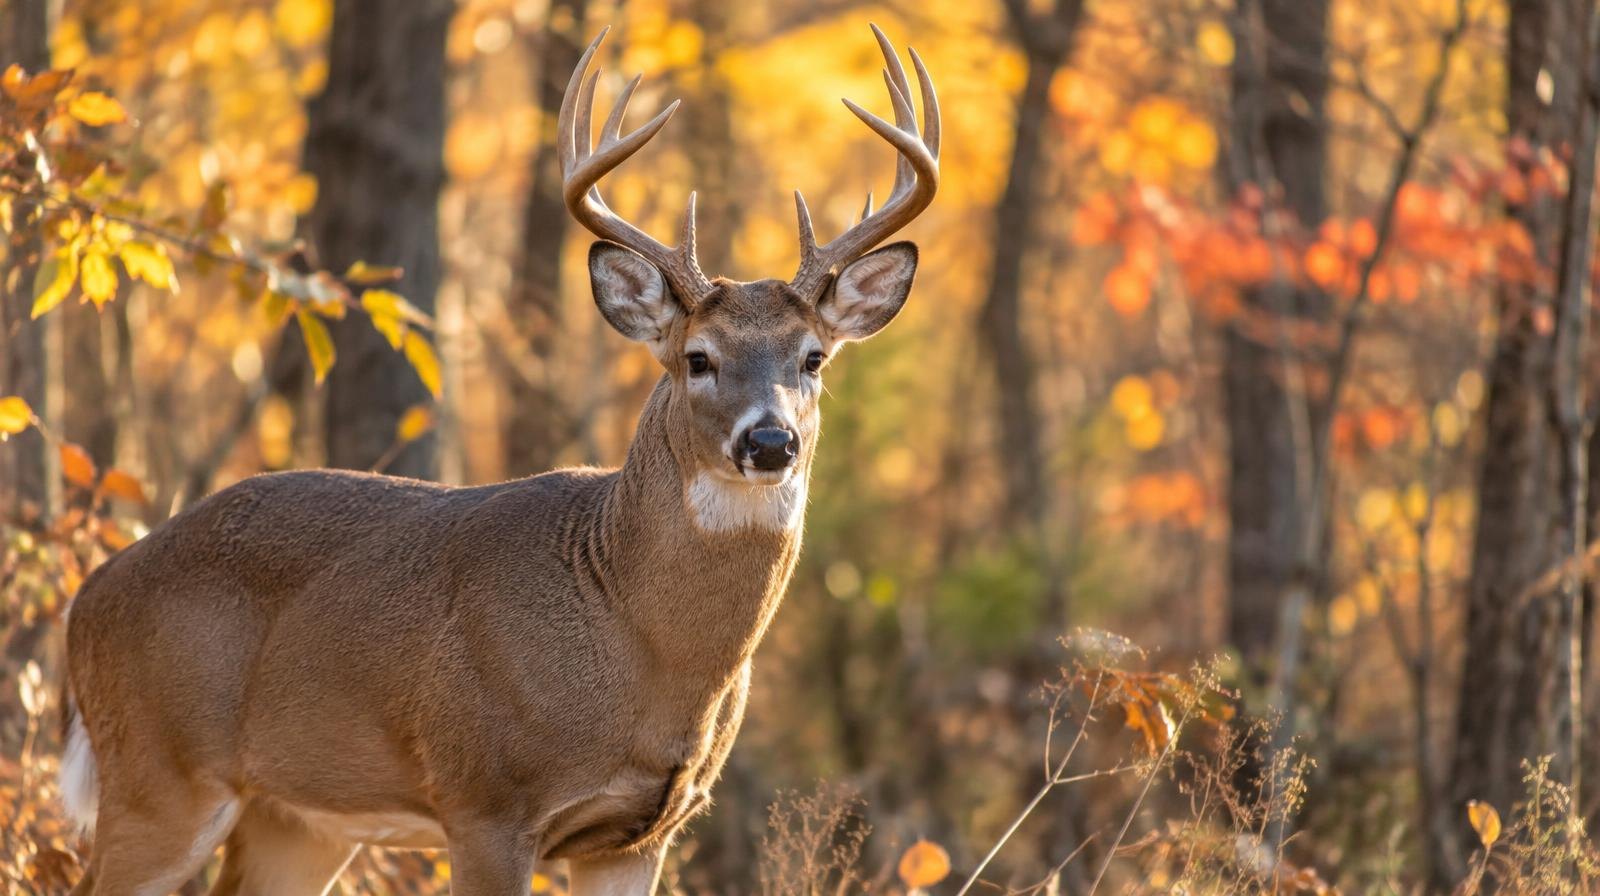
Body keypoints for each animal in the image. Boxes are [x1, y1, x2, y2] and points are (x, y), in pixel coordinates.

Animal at [59, 24, 937, 896]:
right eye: (698, 358)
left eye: (813, 358)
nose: (770, 441)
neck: (641, 642)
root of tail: (87, 598)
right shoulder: (484, 800)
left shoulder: (640, 833)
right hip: (157, 772)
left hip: (296, 819)